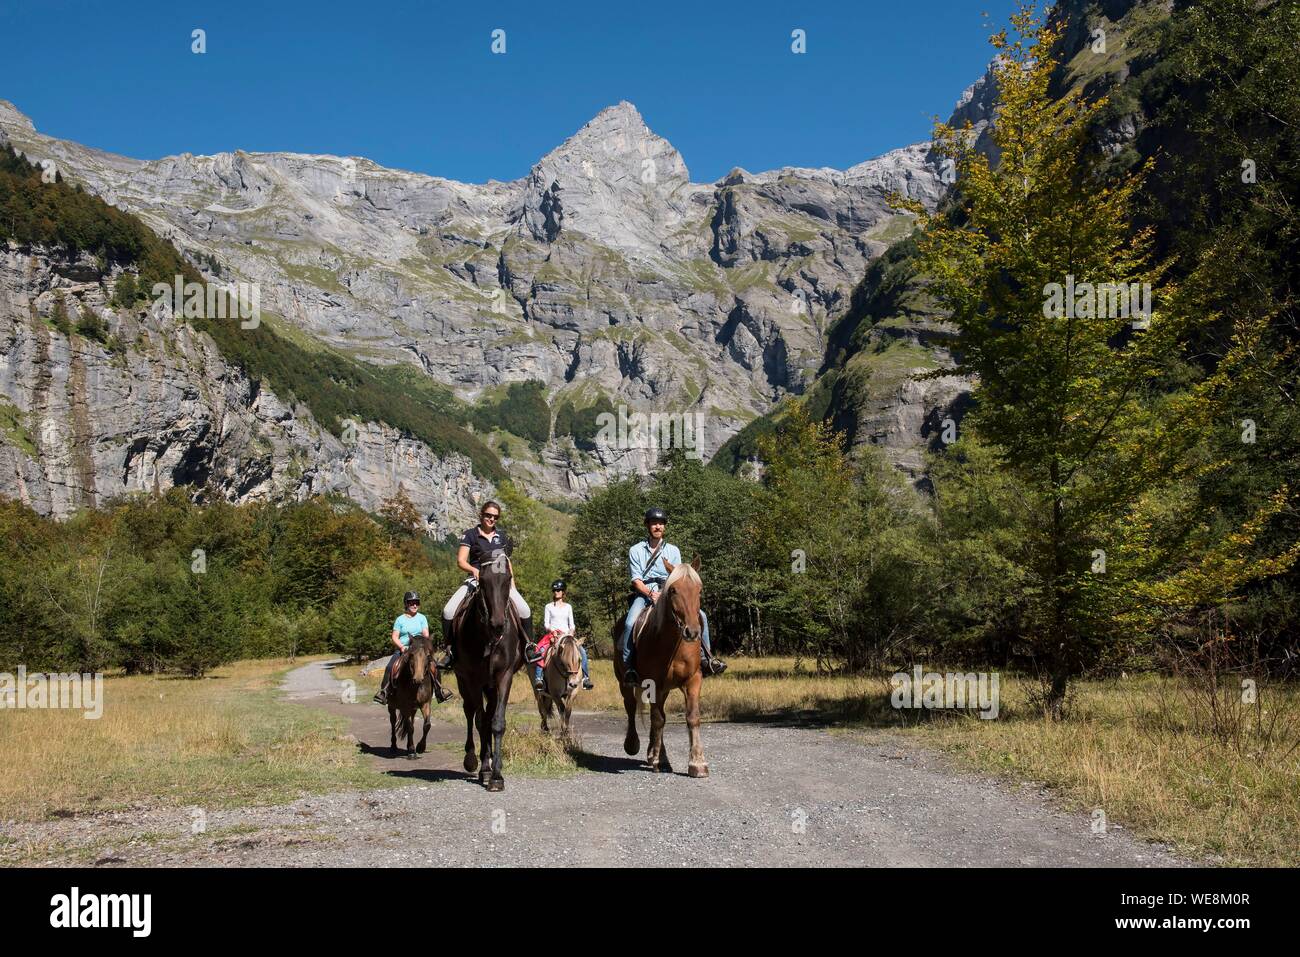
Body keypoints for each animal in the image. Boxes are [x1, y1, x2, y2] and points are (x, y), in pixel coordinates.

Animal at [387, 634, 434, 764]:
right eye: (411, 654)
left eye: (428, 655)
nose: (418, 679)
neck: (416, 687)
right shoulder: (405, 706)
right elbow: (410, 728)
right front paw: (412, 752)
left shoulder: (425, 704)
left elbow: (426, 725)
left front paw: (420, 747)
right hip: (391, 707)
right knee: (393, 722)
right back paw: (393, 746)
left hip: (413, 709)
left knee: (411, 723)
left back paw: (408, 746)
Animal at [452, 553, 522, 790]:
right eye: (482, 581)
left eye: (508, 579)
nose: (498, 624)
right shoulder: (473, 679)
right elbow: (481, 722)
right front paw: (483, 770)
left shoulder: (504, 676)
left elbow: (497, 723)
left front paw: (497, 775)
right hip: (463, 681)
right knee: (470, 712)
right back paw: (473, 759)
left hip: (490, 686)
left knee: (489, 713)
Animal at [611, 561, 712, 780]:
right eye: (673, 590)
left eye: (699, 590)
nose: (692, 632)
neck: (673, 644)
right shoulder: (654, 683)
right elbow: (658, 720)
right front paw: (659, 760)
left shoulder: (693, 680)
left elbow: (692, 717)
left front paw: (698, 764)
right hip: (625, 683)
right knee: (631, 708)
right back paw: (634, 745)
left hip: (664, 689)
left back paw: (654, 754)